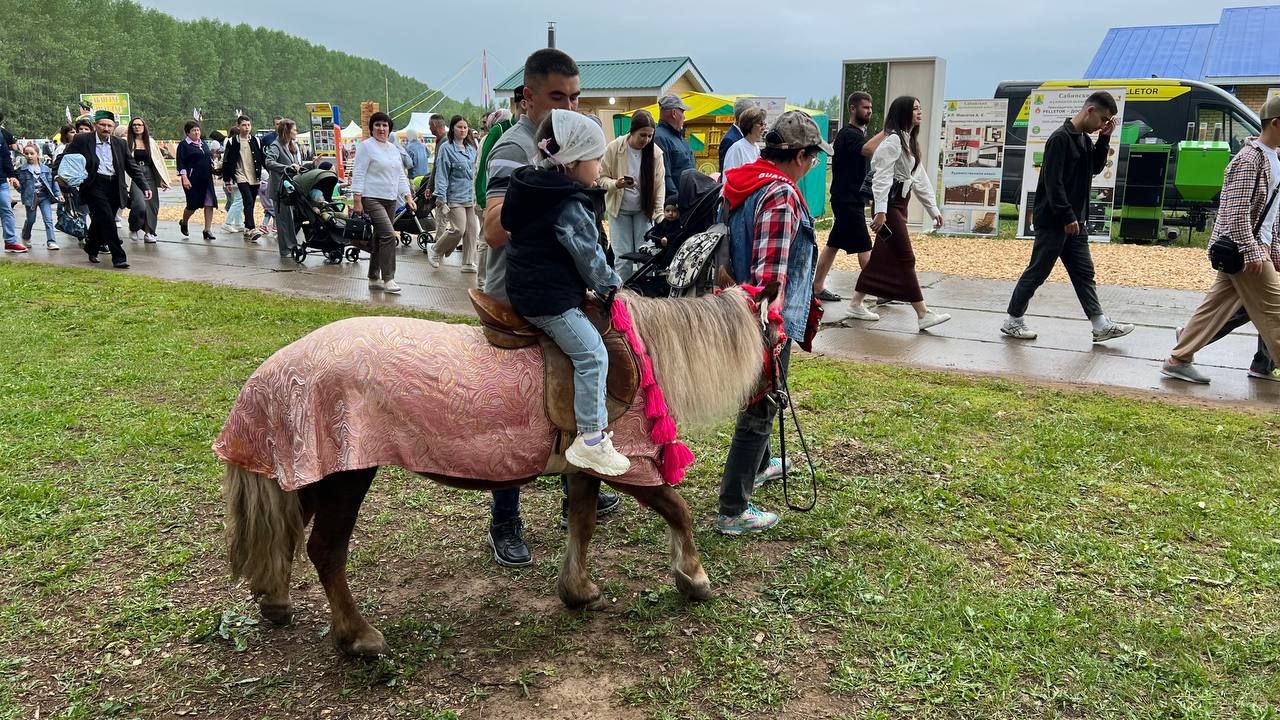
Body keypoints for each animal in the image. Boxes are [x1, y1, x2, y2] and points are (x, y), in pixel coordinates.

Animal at [215, 283, 783, 653]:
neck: (642, 350)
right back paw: (357, 636)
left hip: (313, 472)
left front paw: (578, 591)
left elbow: (582, 523)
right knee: (325, 550)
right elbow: (677, 508)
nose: (774, 401)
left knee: (286, 531)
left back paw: (274, 601)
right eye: (778, 335)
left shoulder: (583, 469)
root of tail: (277, 368)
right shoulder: (631, 466)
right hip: (345, 476)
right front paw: (694, 578)